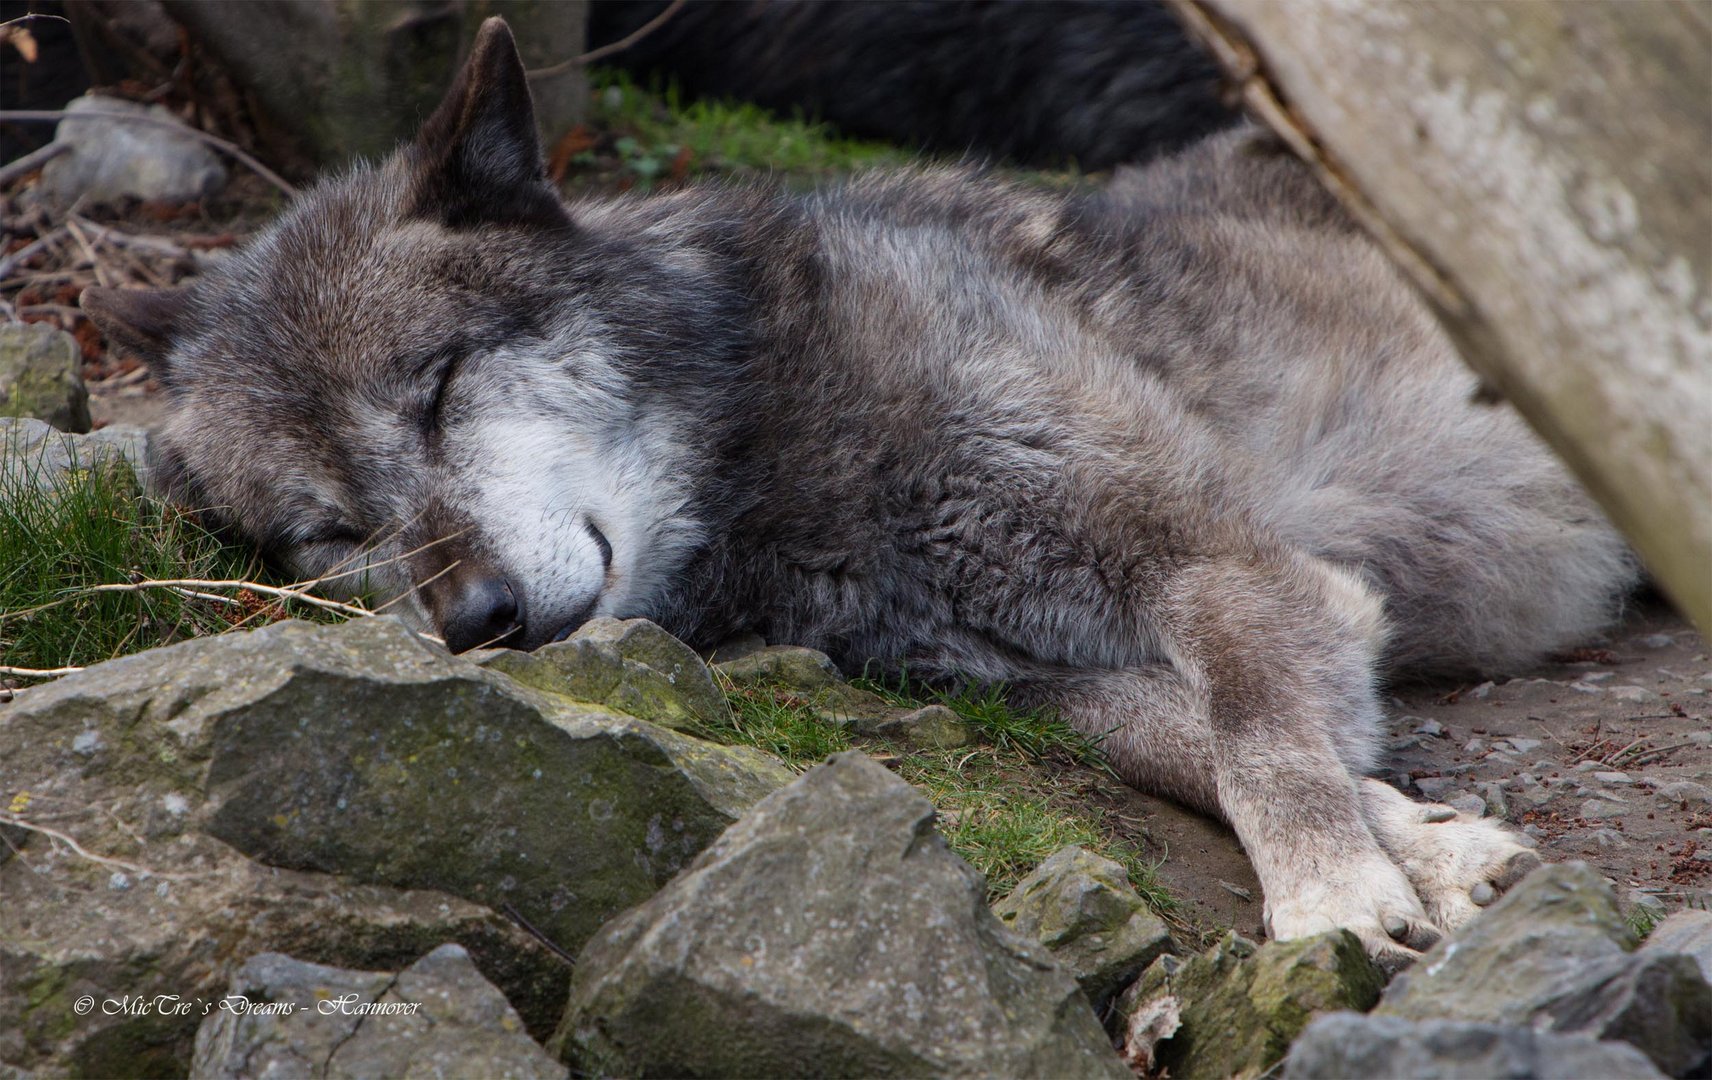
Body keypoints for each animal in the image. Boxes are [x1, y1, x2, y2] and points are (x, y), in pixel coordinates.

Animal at [80, 19, 1629, 965]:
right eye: (327, 530)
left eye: (441, 386)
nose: (472, 619)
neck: (786, 447)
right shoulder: (1028, 684)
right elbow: (1211, 751)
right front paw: (1426, 850)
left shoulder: (1222, 563)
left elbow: (1259, 741)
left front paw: (1331, 897)